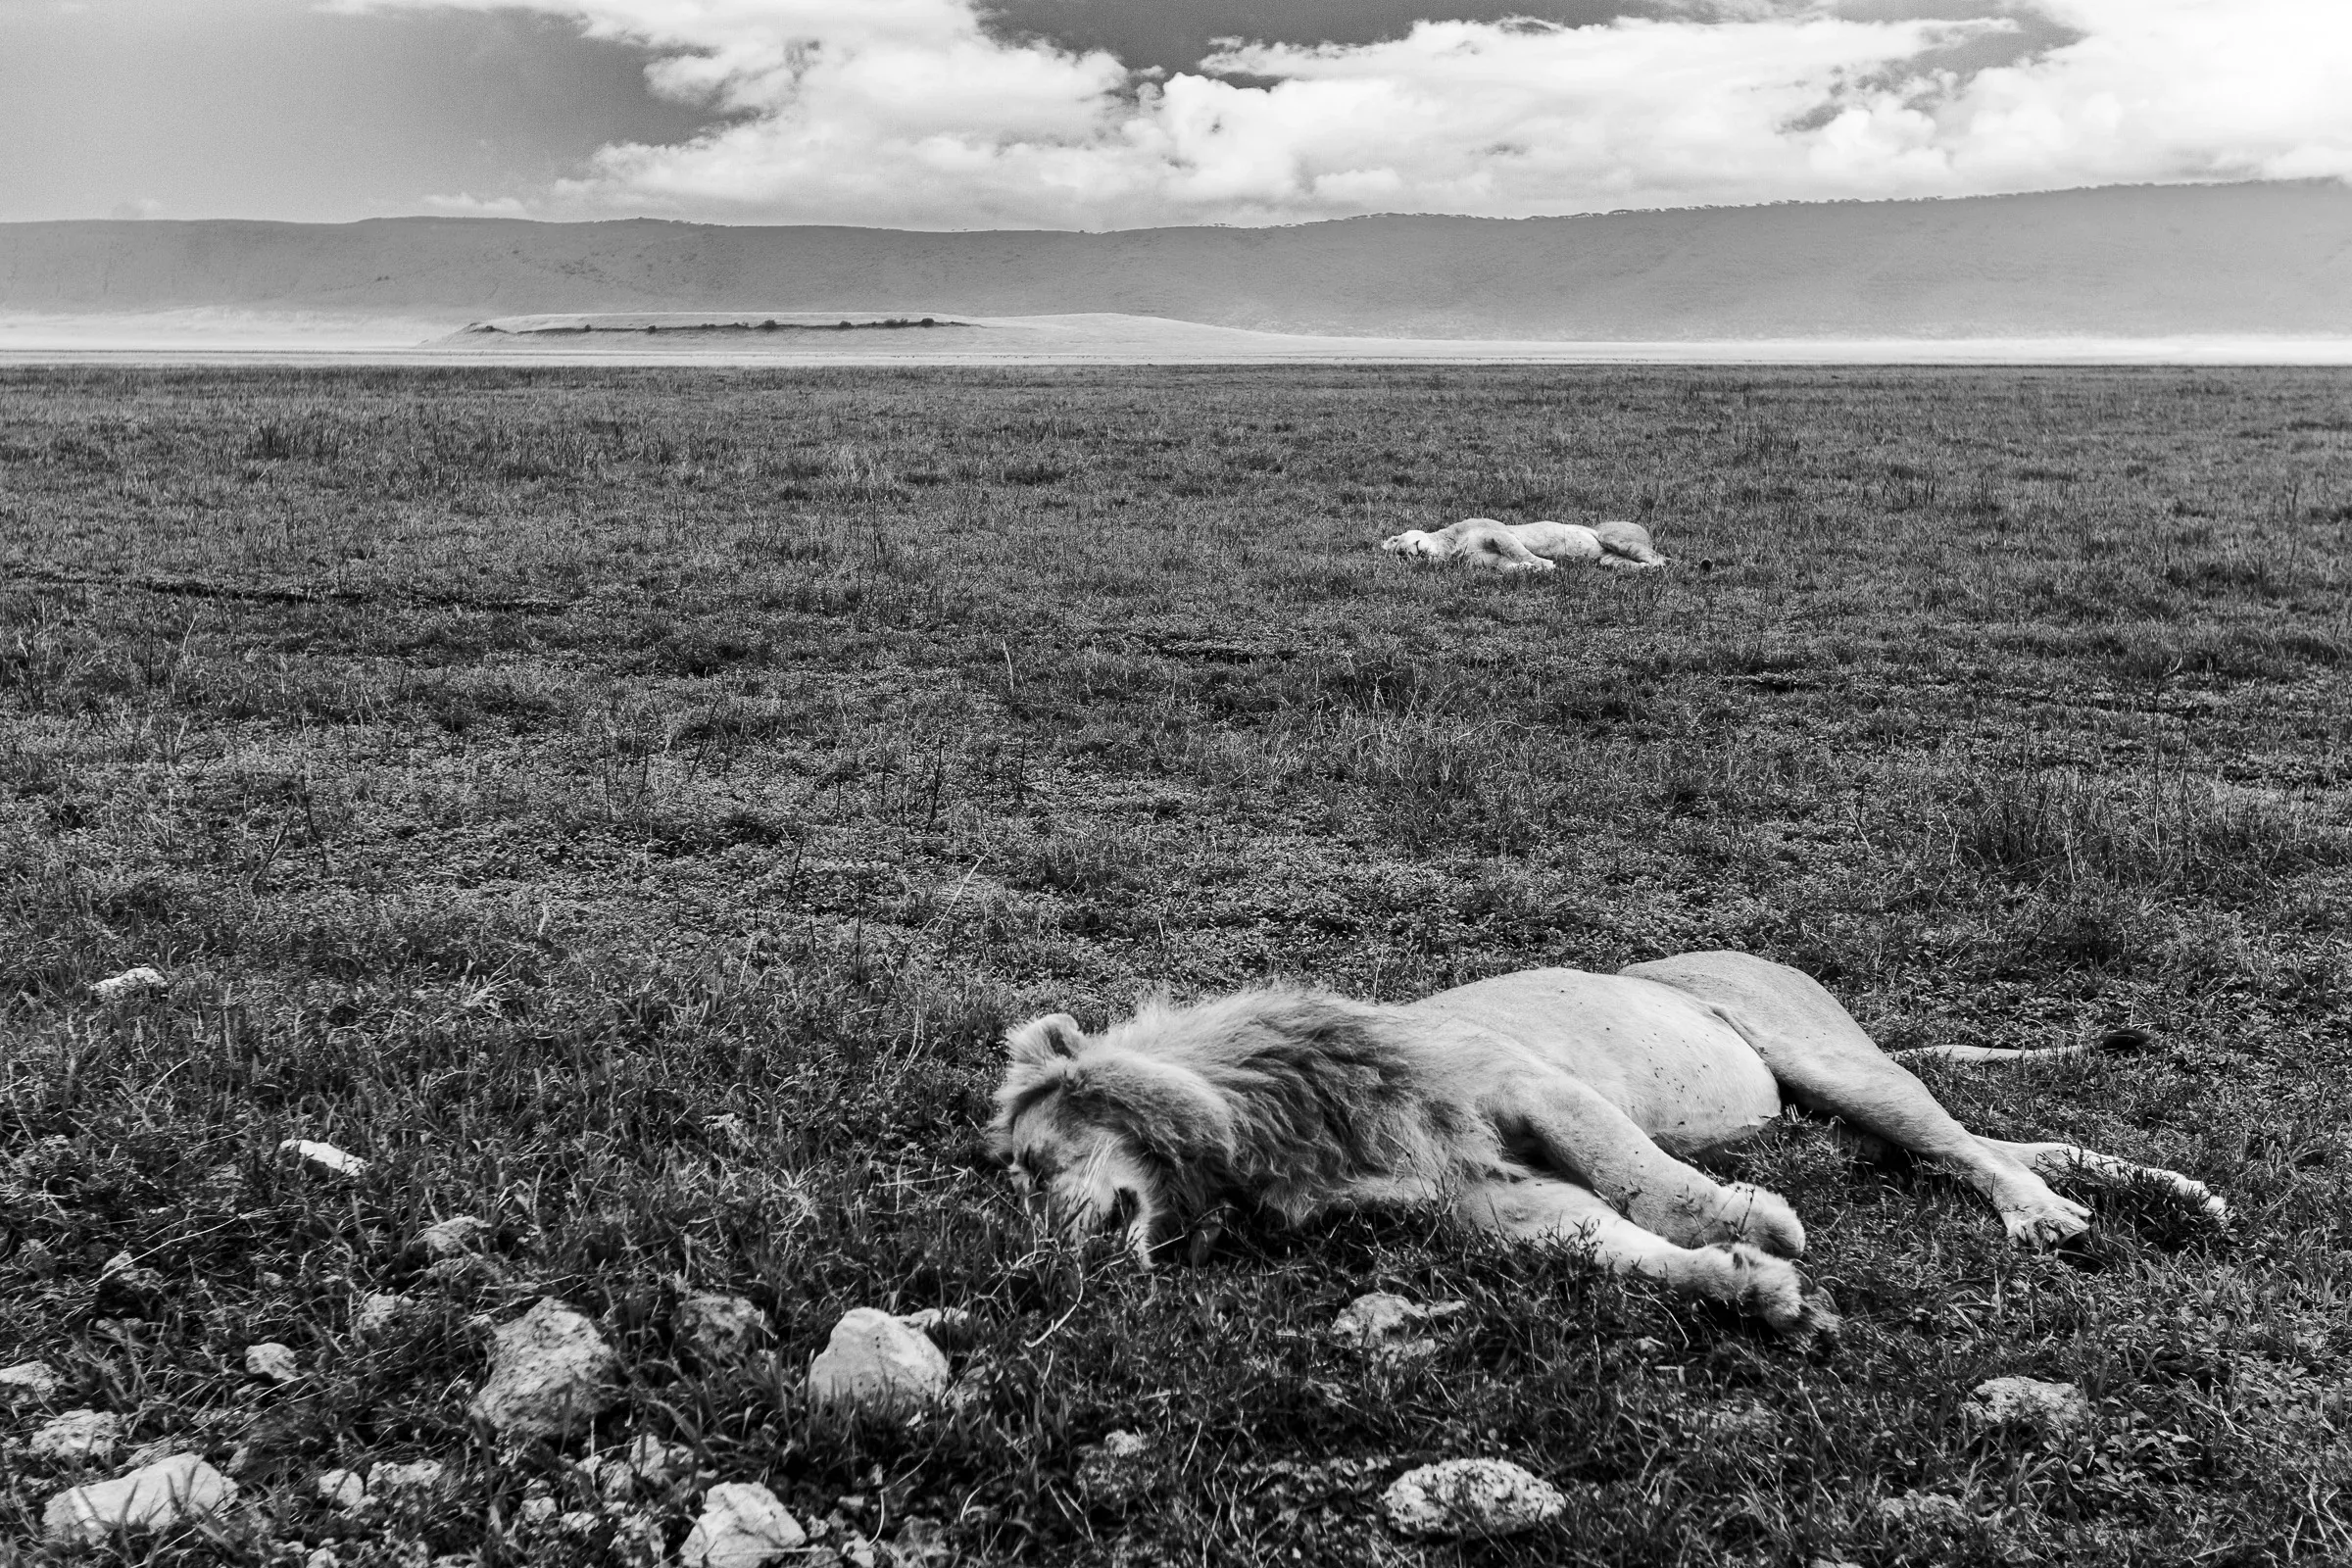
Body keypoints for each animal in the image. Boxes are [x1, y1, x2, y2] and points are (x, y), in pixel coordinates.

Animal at [989, 952, 2225, 1337]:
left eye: (1037, 1167)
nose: (1049, 1260)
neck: (1266, 1131)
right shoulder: (1476, 1198)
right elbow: (1608, 1244)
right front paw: (1754, 1291)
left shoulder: (1533, 1086)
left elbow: (1647, 1183)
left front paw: (1751, 1221)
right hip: (1838, 1119)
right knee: (1990, 1137)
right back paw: (2174, 1190)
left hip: (1833, 1063)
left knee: (1967, 1146)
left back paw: (2051, 1217)